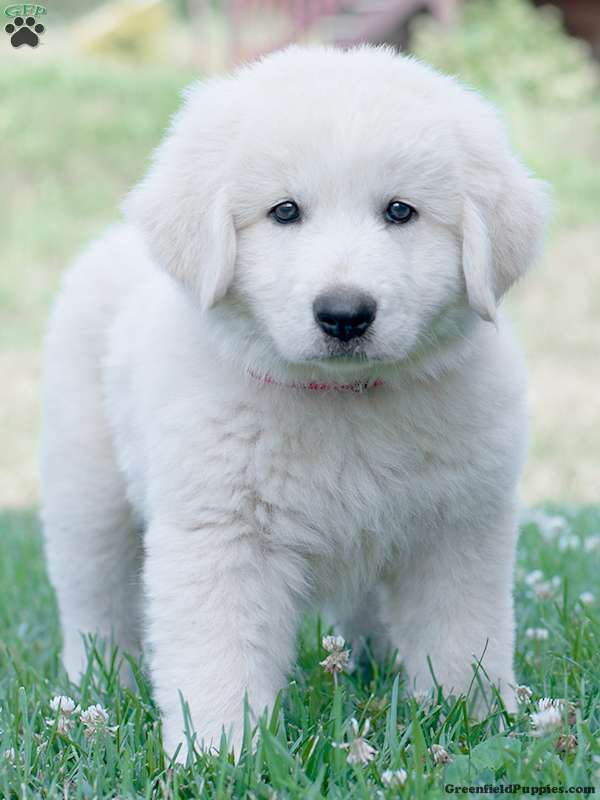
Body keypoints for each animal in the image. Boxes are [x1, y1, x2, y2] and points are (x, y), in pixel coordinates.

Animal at [41, 45, 548, 756]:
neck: (341, 400)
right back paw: (96, 687)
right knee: (96, 600)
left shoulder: (458, 527)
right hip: (86, 491)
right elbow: (218, 656)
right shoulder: (222, 533)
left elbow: (460, 638)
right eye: (284, 211)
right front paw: (218, 754)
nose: (344, 314)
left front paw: (473, 722)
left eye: (400, 212)